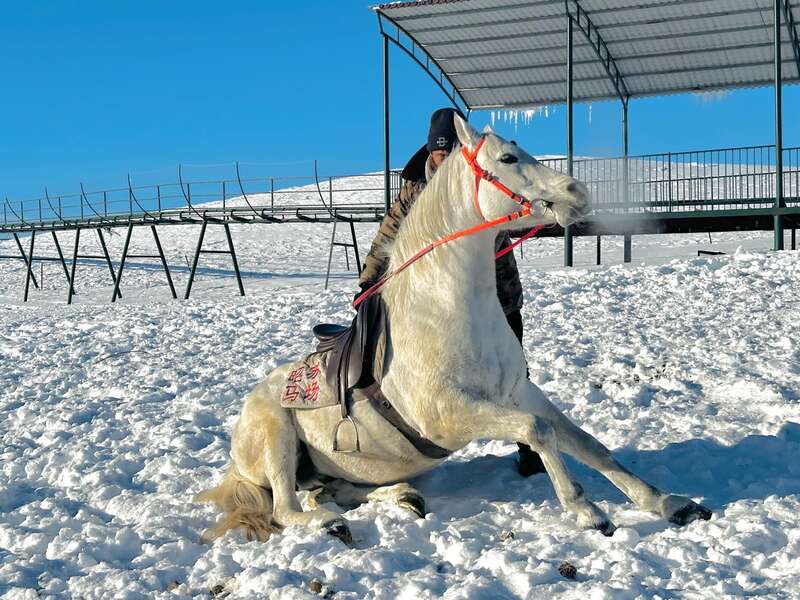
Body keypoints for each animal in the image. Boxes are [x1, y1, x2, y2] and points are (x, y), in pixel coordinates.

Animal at [197, 116, 708, 544]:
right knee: (288, 506)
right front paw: (586, 510)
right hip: (276, 440)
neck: (453, 311)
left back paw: (403, 496)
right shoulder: (450, 415)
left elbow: (586, 442)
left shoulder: (518, 393)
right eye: (508, 158)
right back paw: (329, 524)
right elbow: (540, 431)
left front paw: (669, 503)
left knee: (331, 490)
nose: (577, 191)